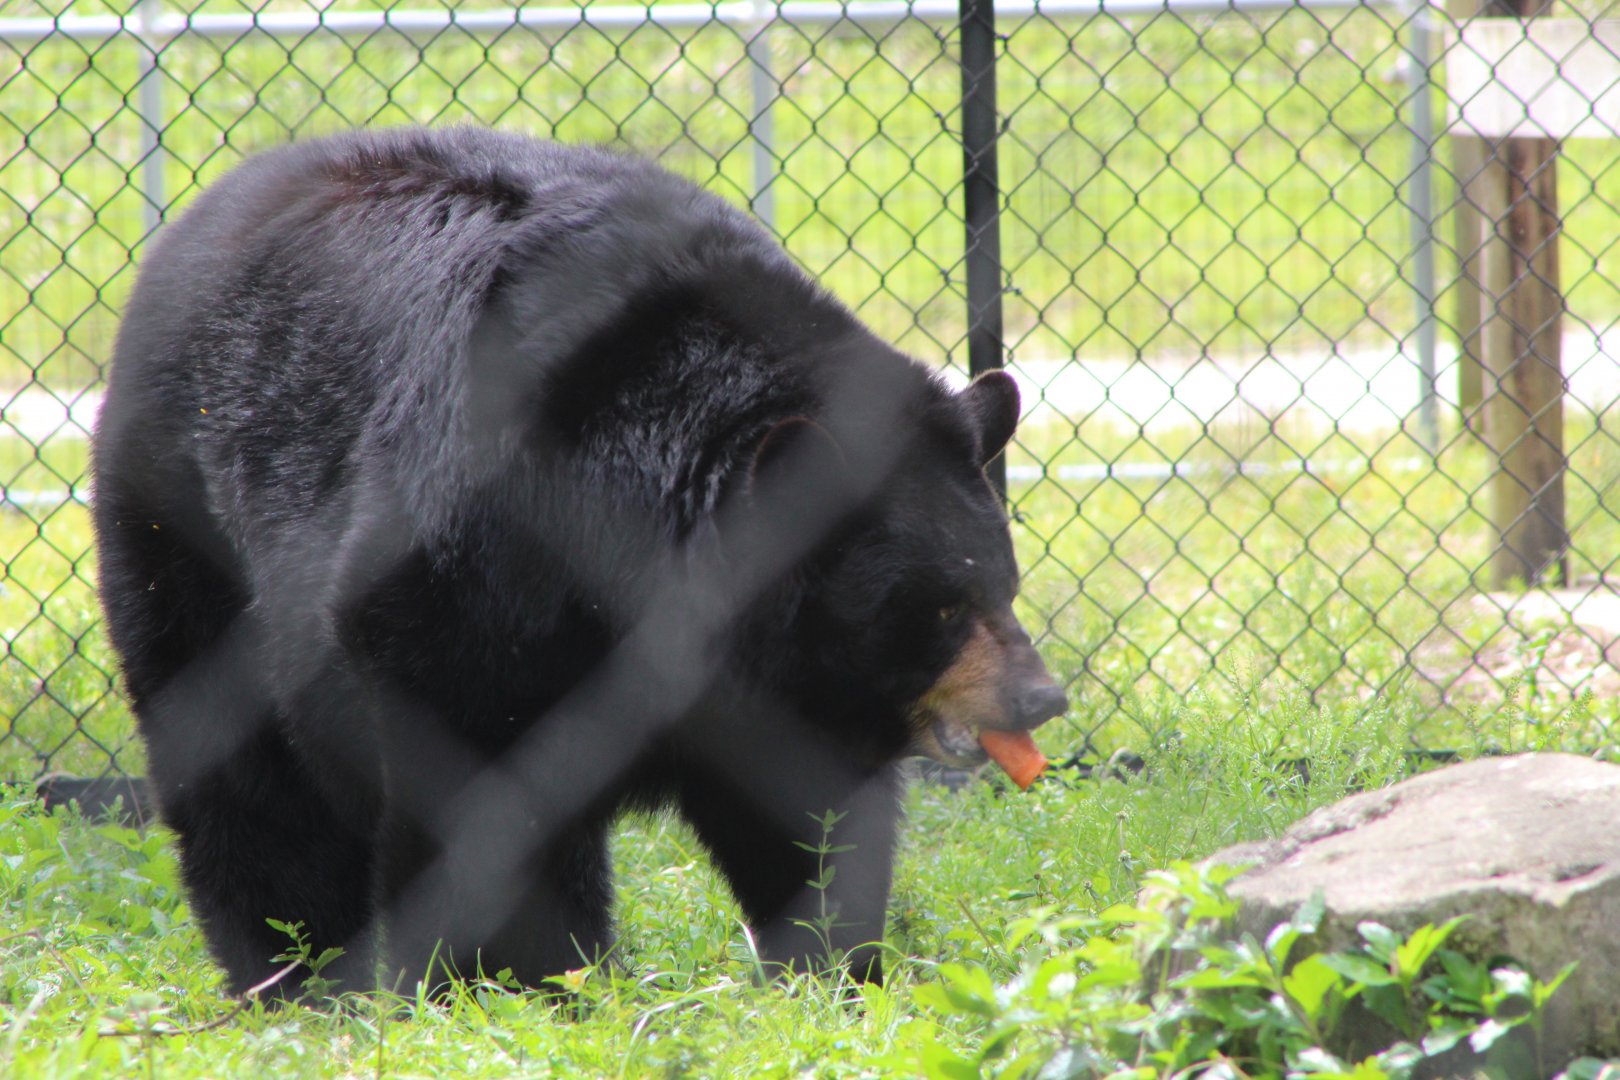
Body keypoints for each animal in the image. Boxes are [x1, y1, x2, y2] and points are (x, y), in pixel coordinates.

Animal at [91, 126, 1067, 996]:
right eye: (939, 606)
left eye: (1003, 586)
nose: (1042, 700)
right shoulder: (469, 578)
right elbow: (481, 794)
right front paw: (511, 982)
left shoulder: (781, 685)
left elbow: (801, 812)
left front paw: (839, 969)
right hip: (187, 532)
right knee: (247, 779)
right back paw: (293, 973)